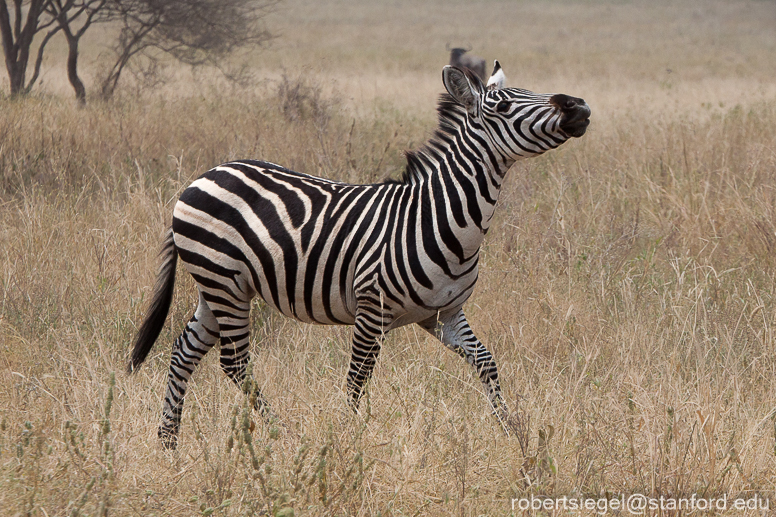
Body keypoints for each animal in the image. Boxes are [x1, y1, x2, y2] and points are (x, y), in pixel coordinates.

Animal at [128, 60, 590, 449]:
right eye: (506, 105)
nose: (579, 105)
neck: (439, 216)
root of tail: (200, 178)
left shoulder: (443, 315)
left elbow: (487, 364)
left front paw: (515, 433)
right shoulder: (373, 308)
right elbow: (357, 379)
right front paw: (347, 439)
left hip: (221, 287)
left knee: (184, 351)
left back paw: (168, 442)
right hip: (223, 280)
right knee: (235, 362)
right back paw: (281, 433)